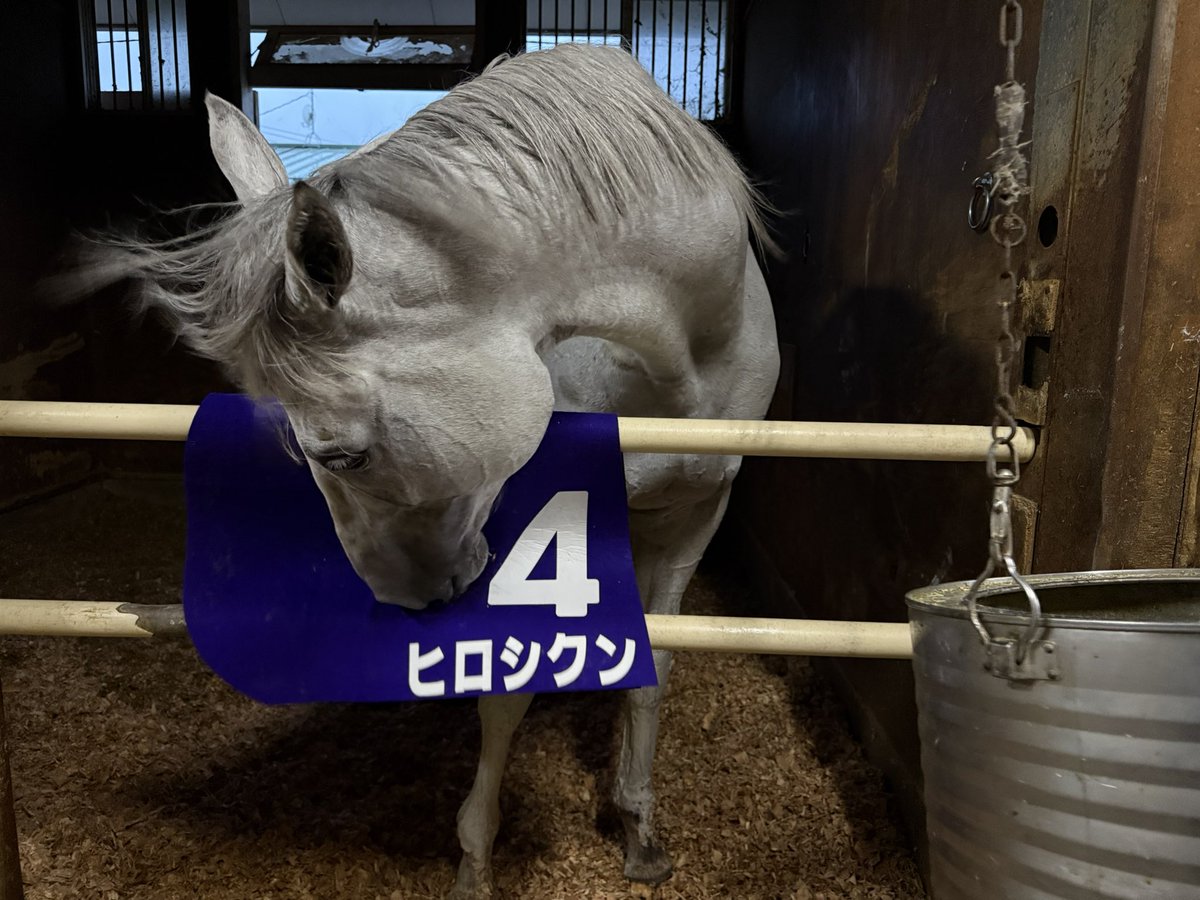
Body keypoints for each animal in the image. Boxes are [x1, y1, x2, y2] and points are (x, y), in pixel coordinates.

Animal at [105, 43, 779, 898]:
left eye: (344, 454)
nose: (404, 600)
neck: (677, 357)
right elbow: (505, 691)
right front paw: (475, 860)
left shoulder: (697, 515)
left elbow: (650, 666)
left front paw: (639, 831)